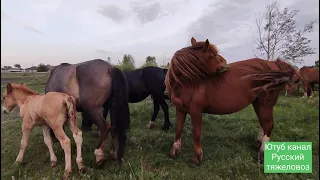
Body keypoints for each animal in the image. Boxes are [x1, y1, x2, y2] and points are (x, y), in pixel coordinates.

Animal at [165, 37, 300, 165]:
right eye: (213, 55)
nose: (225, 64)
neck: (187, 83)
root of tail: (273, 64)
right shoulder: (180, 110)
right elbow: (178, 129)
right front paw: (174, 151)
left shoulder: (196, 111)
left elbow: (196, 133)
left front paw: (196, 158)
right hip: (258, 103)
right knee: (263, 123)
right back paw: (257, 145)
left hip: (265, 103)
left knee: (268, 125)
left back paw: (262, 154)